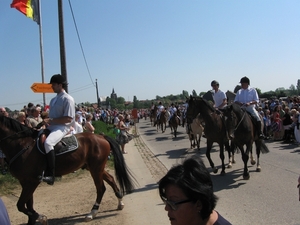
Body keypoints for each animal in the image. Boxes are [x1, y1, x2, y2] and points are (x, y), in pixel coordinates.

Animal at [0, 116, 135, 225]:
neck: (22, 144)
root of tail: (101, 136)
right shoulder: (25, 181)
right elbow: (28, 204)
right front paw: (34, 219)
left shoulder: (32, 181)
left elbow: (21, 205)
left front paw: (41, 217)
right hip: (94, 168)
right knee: (111, 179)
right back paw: (120, 202)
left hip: (96, 169)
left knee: (101, 188)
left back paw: (92, 213)